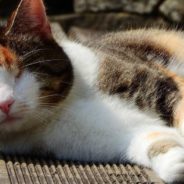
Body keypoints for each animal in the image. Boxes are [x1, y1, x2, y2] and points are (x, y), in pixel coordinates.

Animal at [1, 0, 184, 182]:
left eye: (19, 73)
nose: (5, 104)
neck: (65, 108)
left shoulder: (157, 81)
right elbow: (151, 138)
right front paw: (175, 162)